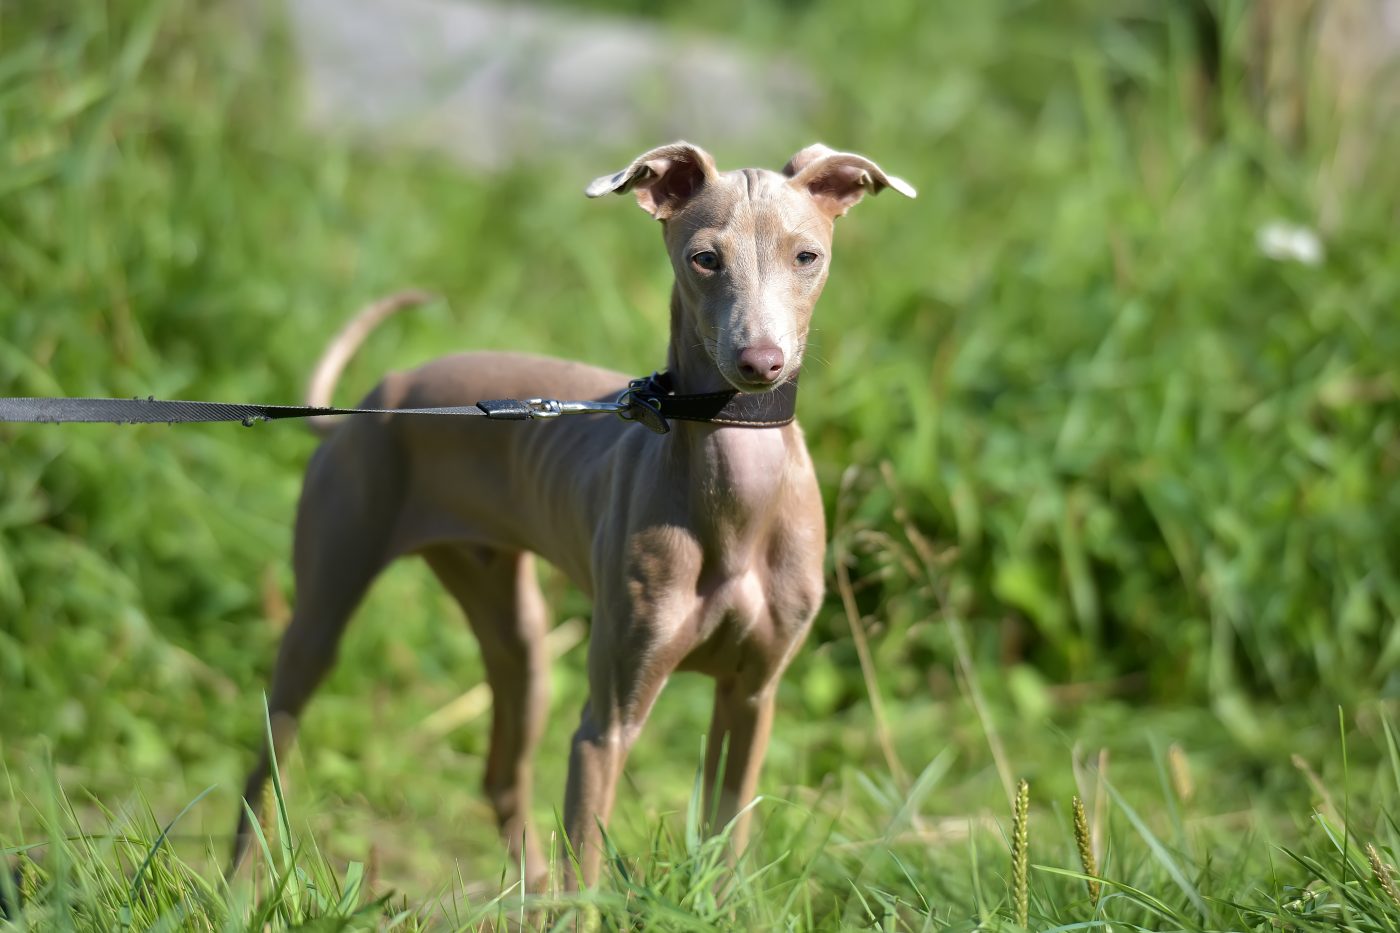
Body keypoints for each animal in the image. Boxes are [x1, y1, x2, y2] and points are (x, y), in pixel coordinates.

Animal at [233, 141, 912, 885]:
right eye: (705, 258)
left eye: (806, 256)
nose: (760, 362)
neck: (738, 494)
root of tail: (379, 395)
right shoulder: (605, 722)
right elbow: (586, 868)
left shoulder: (753, 696)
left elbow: (726, 841)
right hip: (322, 616)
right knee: (265, 768)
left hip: (517, 635)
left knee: (501, 774)